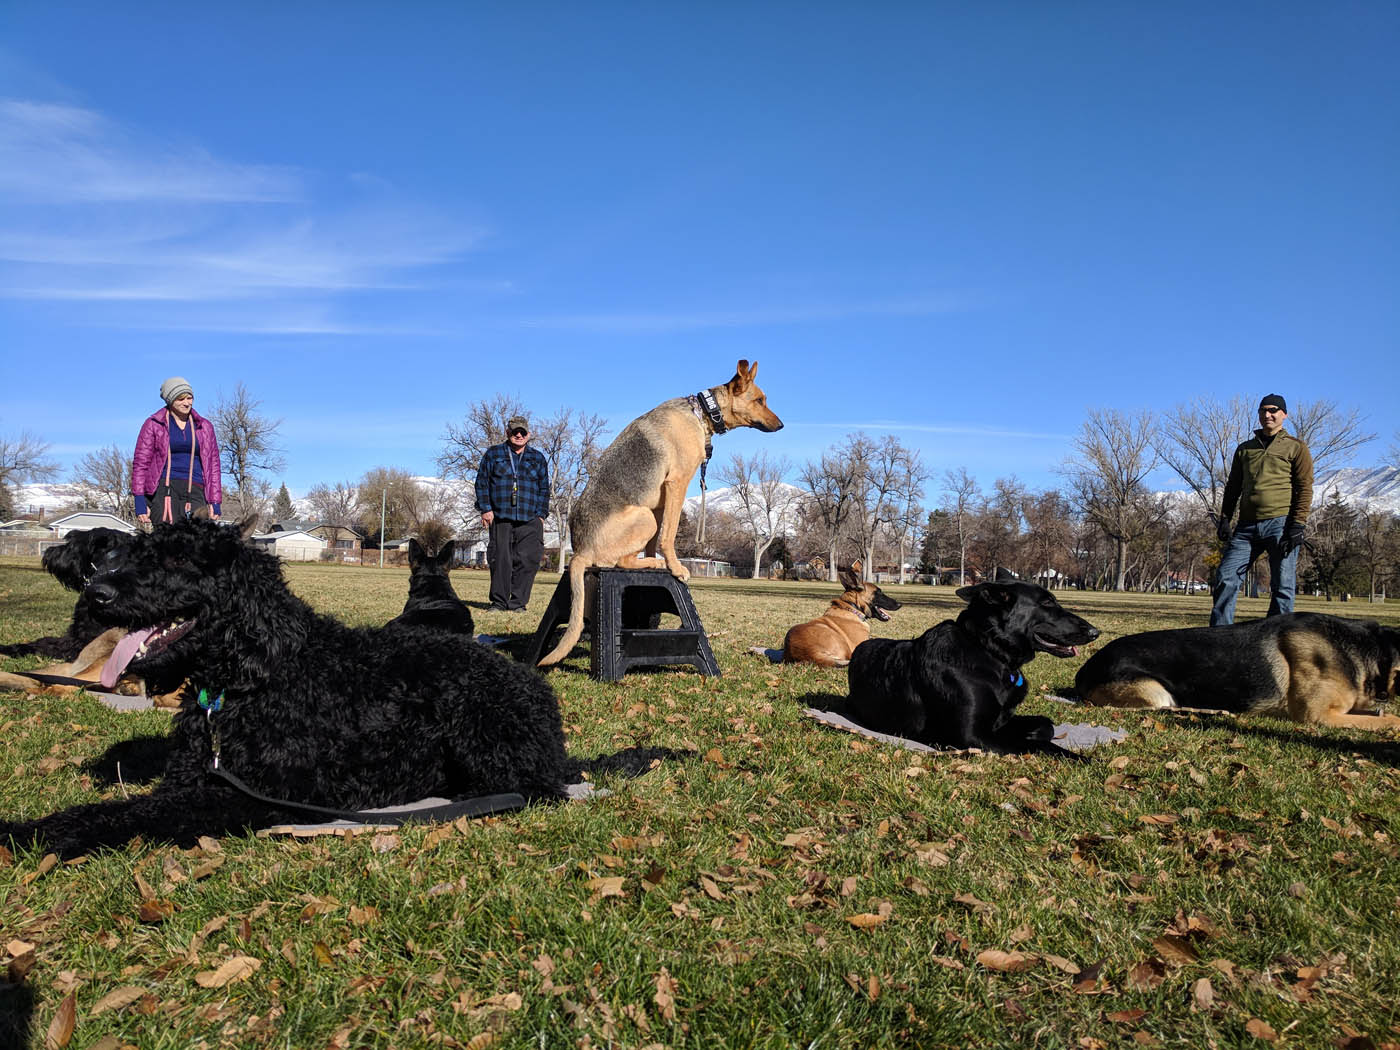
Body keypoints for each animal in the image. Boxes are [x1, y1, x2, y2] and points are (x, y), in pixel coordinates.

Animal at [840, 588, 1103, 761]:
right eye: (1047, 603)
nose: (1095, 632)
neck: (989, 651)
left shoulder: (1000, 720)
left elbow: (1045, 724)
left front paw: (1033, 732)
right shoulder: (971, 737)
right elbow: (1036, 745)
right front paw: (1082, 759)